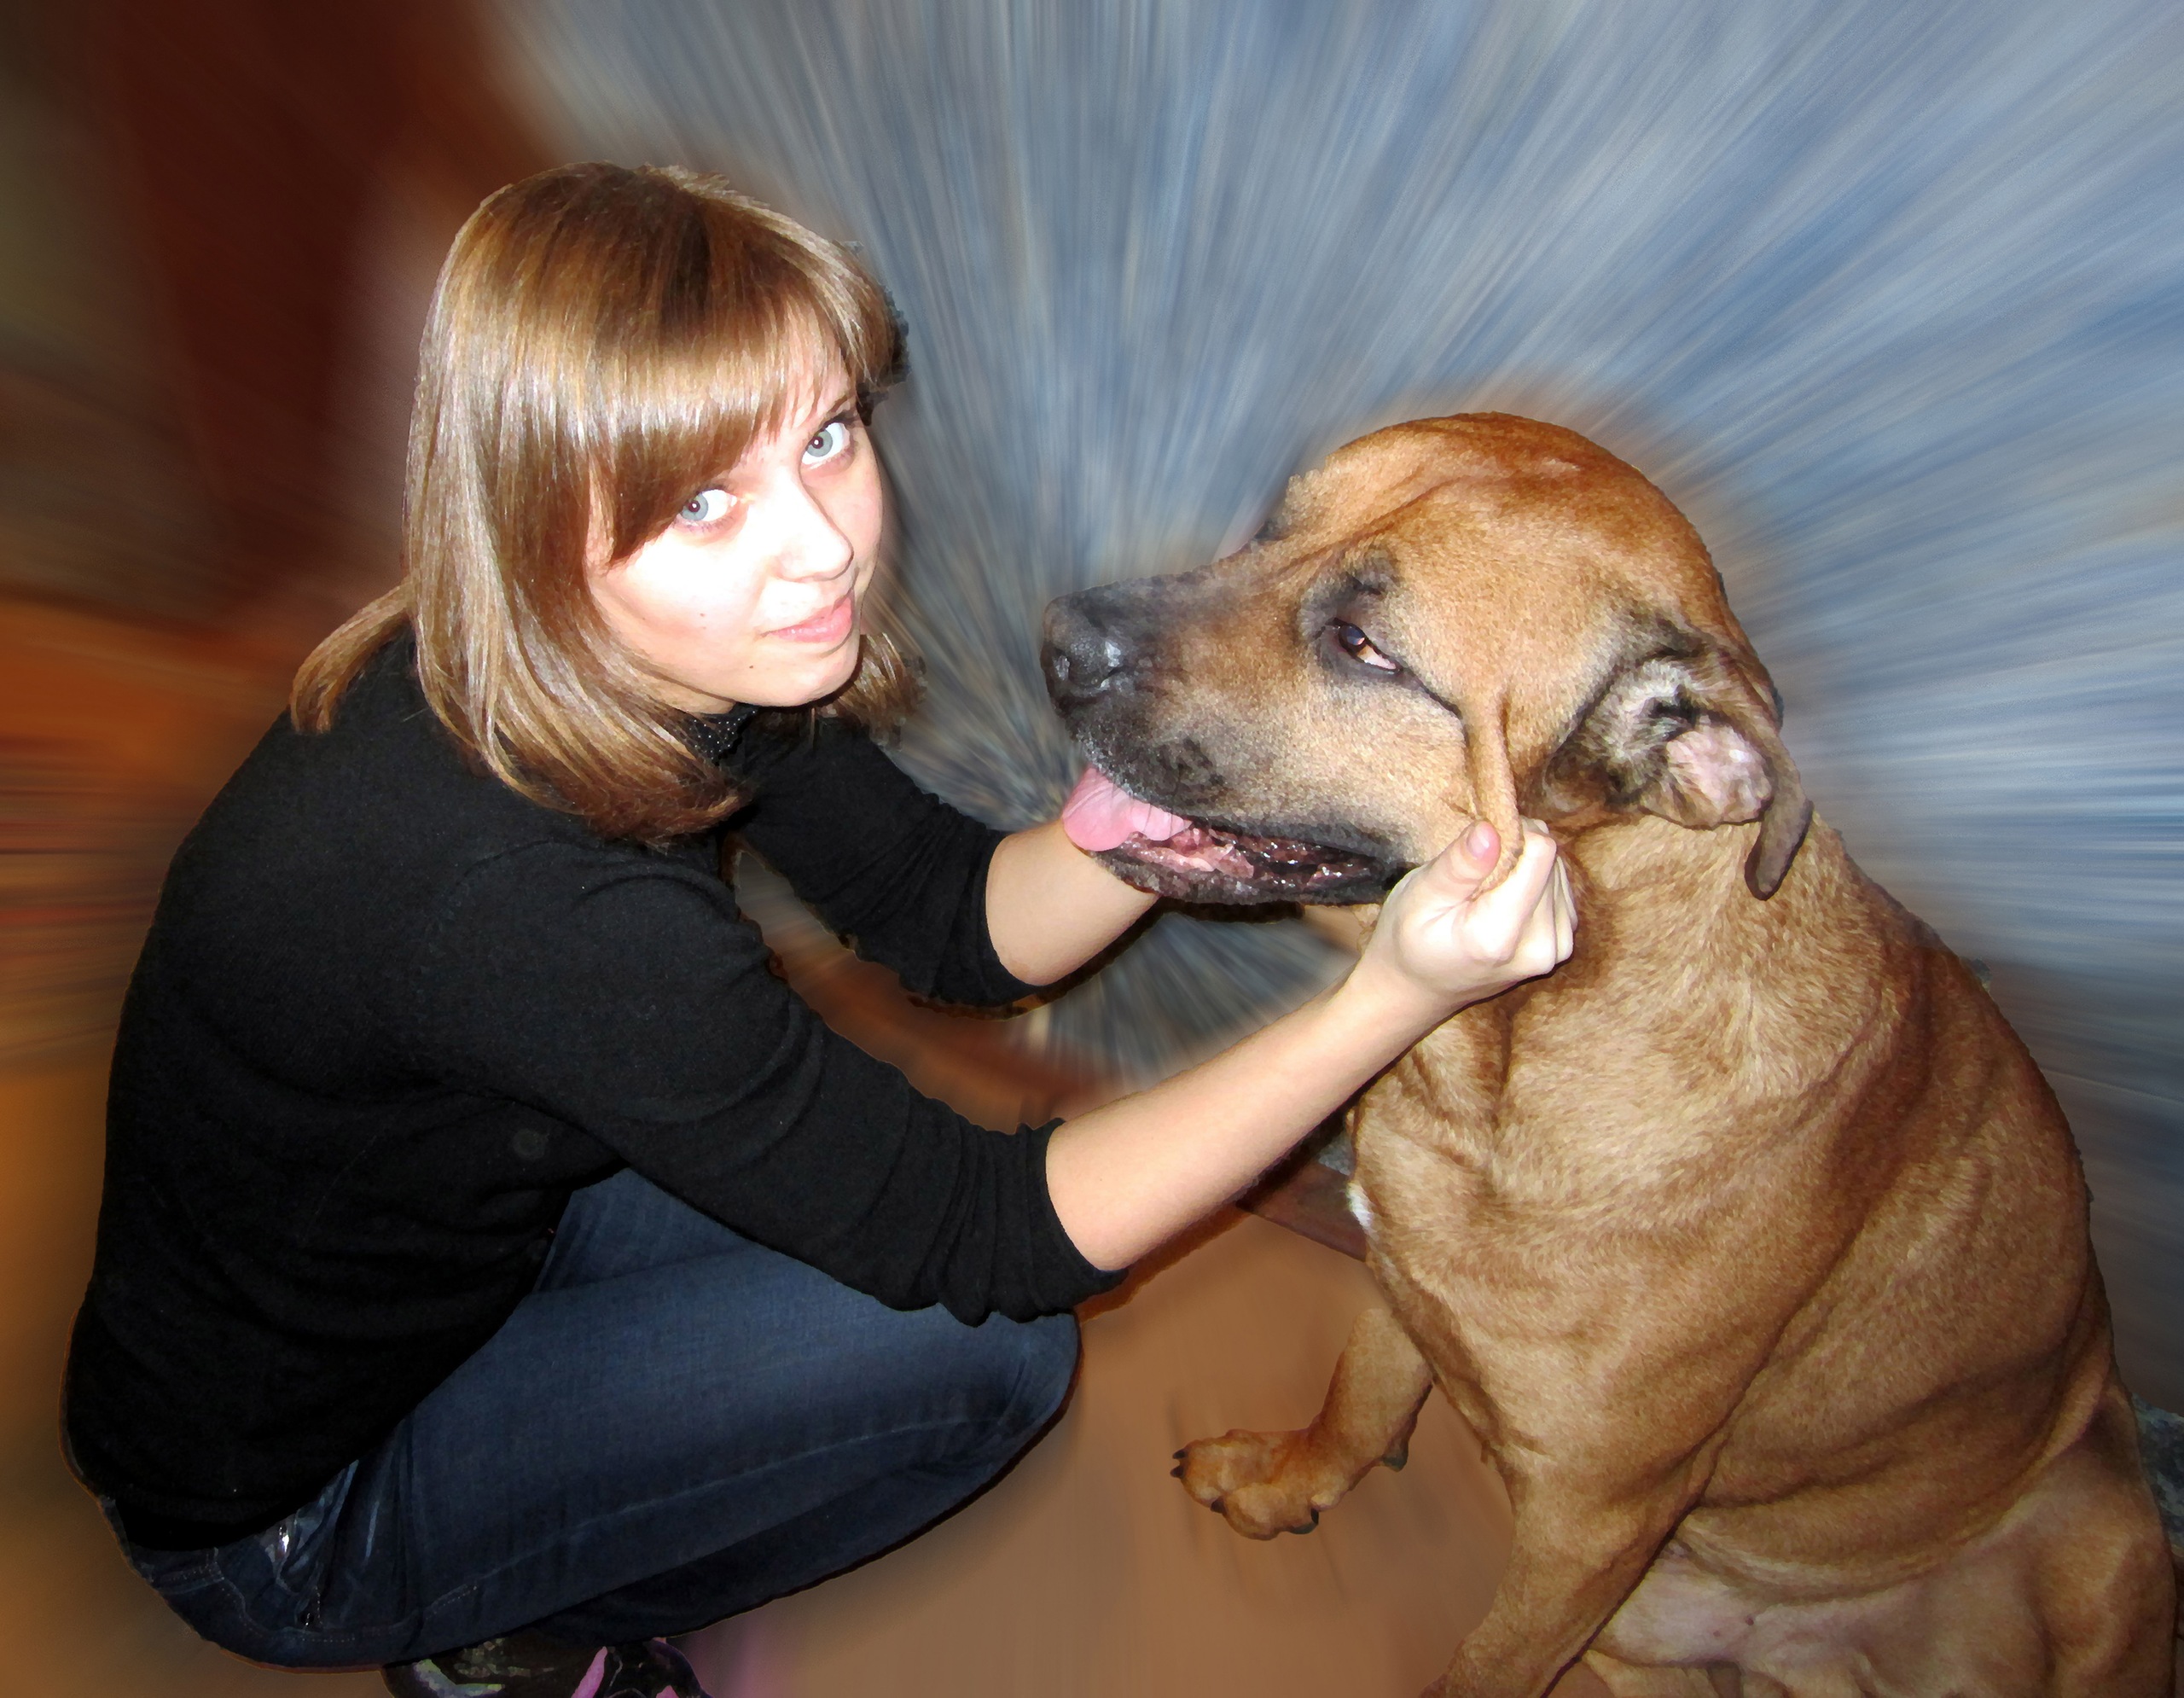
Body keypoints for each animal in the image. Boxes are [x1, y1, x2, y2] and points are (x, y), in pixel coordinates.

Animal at [1041, 414, 2174, 1697]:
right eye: (1272, 530)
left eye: (1362, 646)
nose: (1057, 640)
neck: (1502, 1068)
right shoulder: (1403, 1277)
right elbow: (1361, 1402)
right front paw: (1288, 1481)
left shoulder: (1593, 1519)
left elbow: (1484, 1667)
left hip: (2104, 1541)